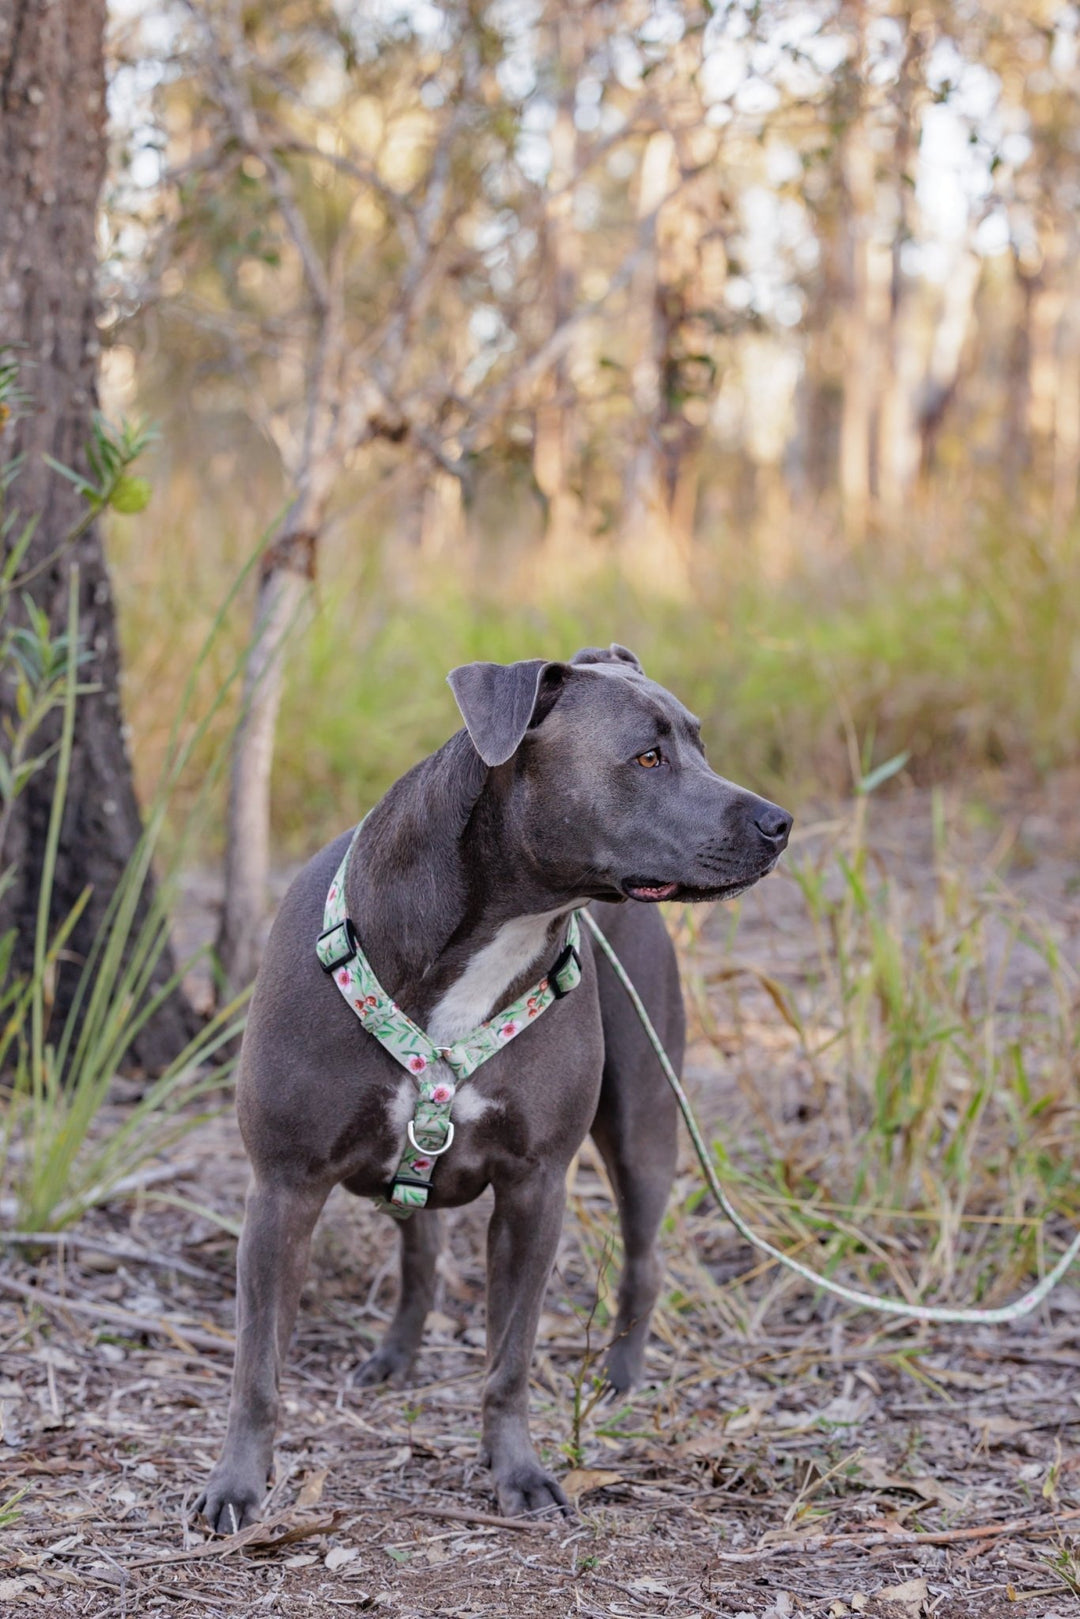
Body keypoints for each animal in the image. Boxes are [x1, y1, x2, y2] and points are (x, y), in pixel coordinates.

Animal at [198, 637, 793, 1521]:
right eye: (647, 757)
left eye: (699, 745)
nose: (779, 822)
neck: (494, 929)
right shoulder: (283, 1186)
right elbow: (256, 1367)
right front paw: (238, 1482)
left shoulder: (533, 1187)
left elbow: (509, 1360)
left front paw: (518, 1470)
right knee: (420, 1252)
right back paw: (397, 1354)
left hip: (644, 1118)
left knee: (642, 1256)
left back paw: (620, 1376)